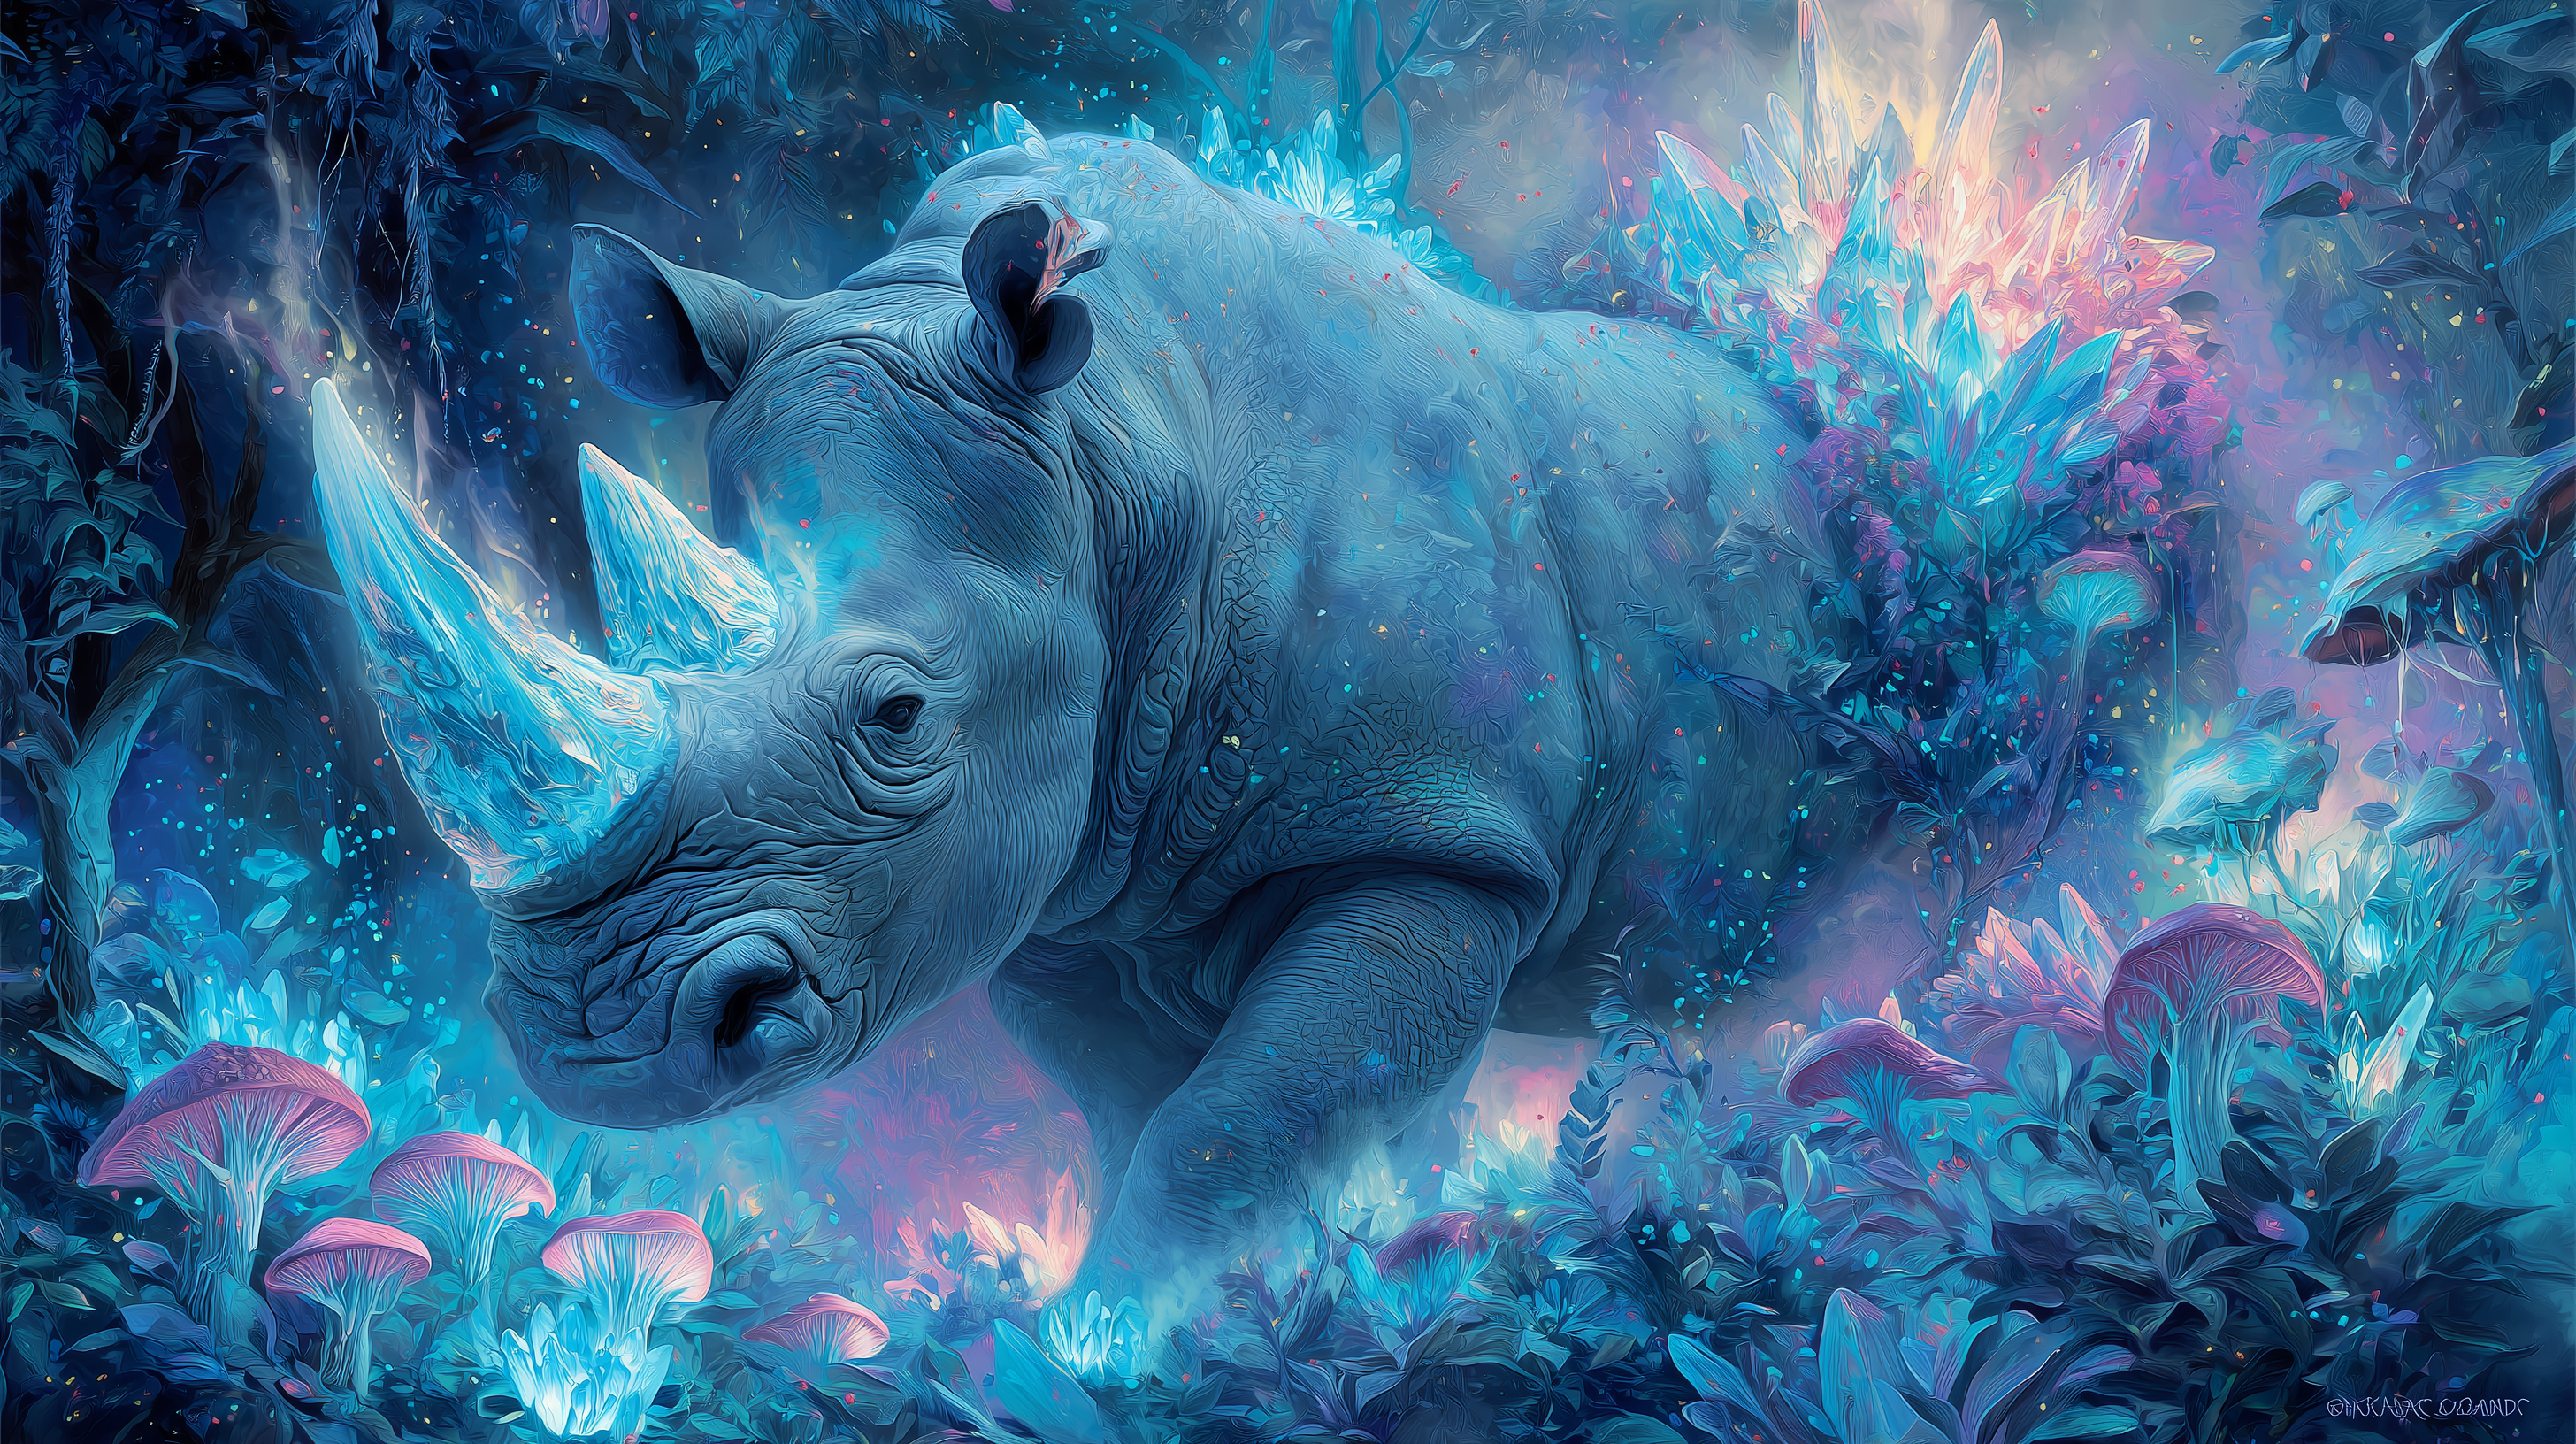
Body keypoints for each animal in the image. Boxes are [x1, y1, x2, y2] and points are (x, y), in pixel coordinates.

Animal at [312, 122, 1844, 1293]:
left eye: (897, 716)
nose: (600, 1047)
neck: (1127, 453)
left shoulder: (1436, 839)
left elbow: (1233, 1129)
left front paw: (1151, 1334)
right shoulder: (1069, 887)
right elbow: (1151, 1122)